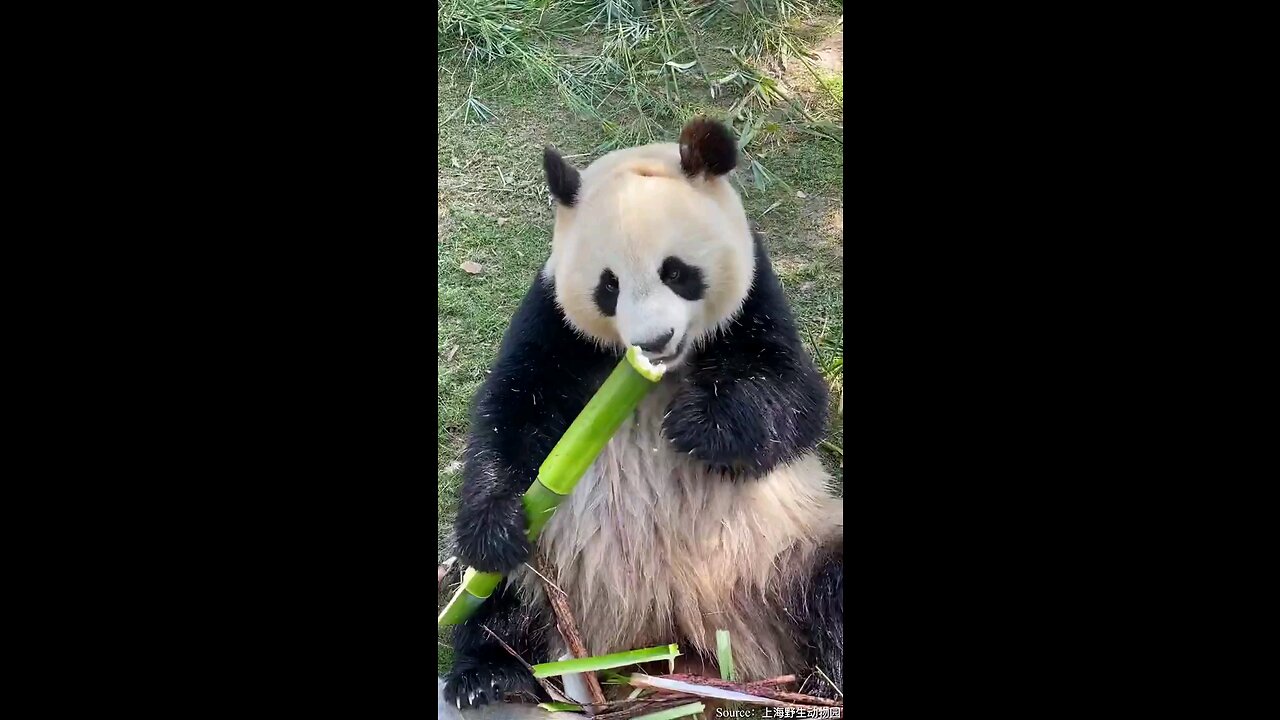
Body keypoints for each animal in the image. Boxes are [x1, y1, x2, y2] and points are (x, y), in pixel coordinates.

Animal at [445, 116, 844, 707]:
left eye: (676, 272)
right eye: (608, 285)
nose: (653, 341)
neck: (652, 377)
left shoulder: (756, 301)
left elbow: (795, 399)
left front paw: (697, 425)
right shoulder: (554, 323)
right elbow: (513, 411)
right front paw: (494, 522)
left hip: (792, 548)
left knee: (834, 584)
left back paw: (825, 681)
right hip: (549, 571)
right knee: (493, 597)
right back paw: (488, 677)